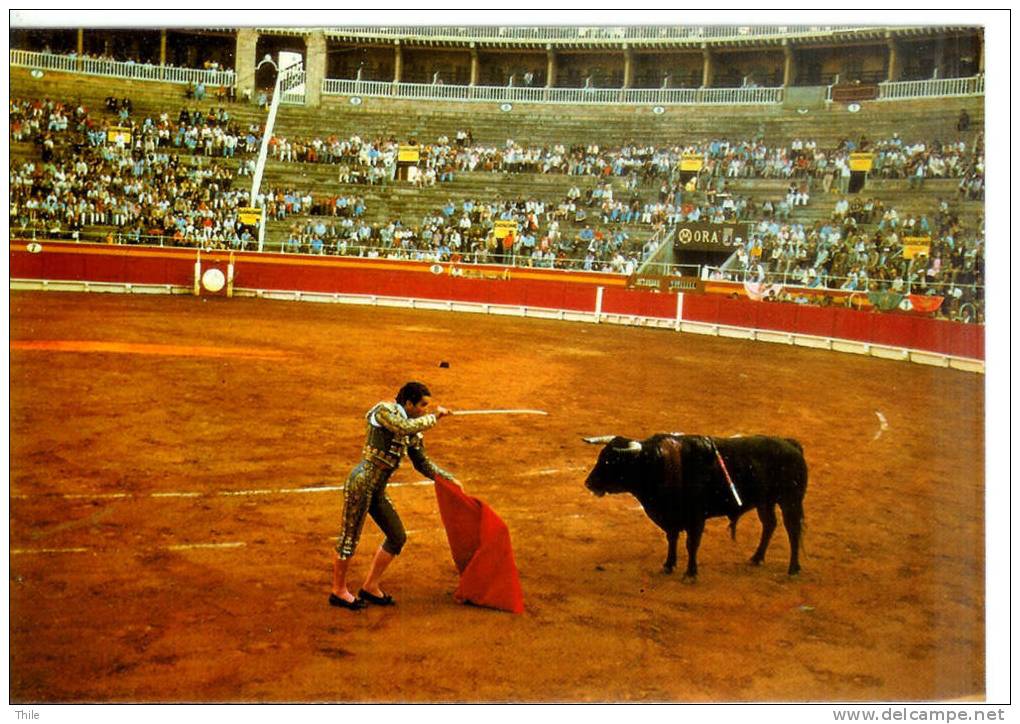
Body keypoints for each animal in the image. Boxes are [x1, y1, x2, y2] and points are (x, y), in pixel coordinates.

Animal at [587, 434, 807, 583]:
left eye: (611, 461)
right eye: (601, 457)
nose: (588, 483)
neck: (660, 464)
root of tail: (792, 445)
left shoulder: (696, 518)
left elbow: (691, 544)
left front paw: (690, 574)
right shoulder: (671, 517)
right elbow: (672, 539)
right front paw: (668, 565)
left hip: (790, 501)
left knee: (793, 531)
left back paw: (793, 569)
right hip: (765, 502)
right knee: (769, 524)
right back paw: (756, 558)